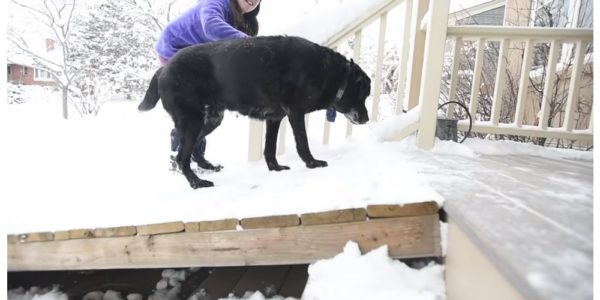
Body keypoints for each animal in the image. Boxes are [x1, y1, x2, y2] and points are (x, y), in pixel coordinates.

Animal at [139, 36, 370, 189]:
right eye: (364, 95)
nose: (367, 119)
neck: (329, 73)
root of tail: (162, 70)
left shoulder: (275, 118)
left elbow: (270, 148)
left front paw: (275, 168)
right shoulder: (295, 113)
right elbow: (302, 143)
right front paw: (312, 163)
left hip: (211, 118)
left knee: (191, 148)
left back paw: (207, 166)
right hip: (193, 120)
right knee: (181, 157)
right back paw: (197, 182)